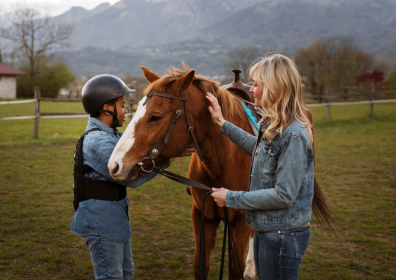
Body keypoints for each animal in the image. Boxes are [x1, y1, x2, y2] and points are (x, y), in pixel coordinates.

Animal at [107, 64, 334, 280]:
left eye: (155, 117)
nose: (115, 165)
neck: (222, 161)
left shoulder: (240, 220)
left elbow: (234, 270)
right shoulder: (202, 215)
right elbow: (201, 268)